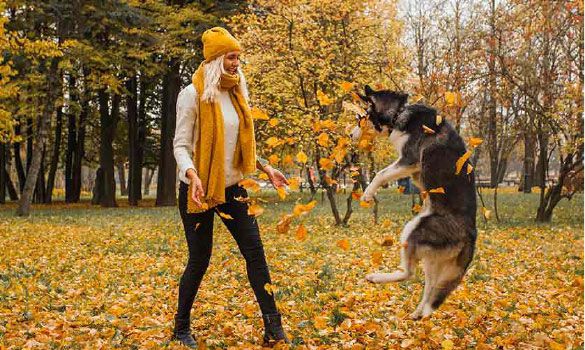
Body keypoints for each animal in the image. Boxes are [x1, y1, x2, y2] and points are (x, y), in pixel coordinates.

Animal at [352, 85, 474, 320]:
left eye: (362, 118)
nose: (349, 134)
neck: (400, 112)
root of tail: (472, 235)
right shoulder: (412, 168)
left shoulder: (409, 160)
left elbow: (380, 174)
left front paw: (367, 194)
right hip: (431, 259)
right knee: (430, 288)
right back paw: (418, 313)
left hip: (413, 229)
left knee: (409, 273)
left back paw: (377, 278)